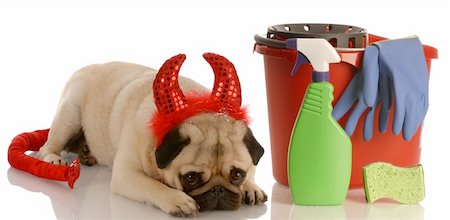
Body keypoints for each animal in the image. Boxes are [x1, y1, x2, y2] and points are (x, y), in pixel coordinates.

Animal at [37, 52, 268, 217]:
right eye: (191, 178)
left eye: (238, 175)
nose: (218, 190)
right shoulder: (125, 175)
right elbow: (153, 185)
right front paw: (177, 200)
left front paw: (251, 186)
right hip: (70, 113)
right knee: (48, 146)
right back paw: (54, 159)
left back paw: (86, 153)